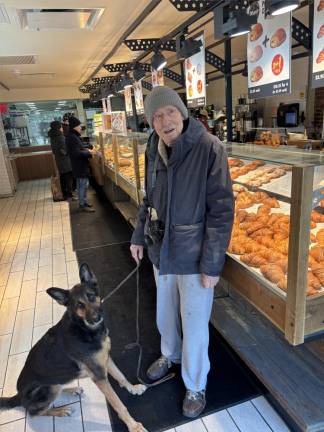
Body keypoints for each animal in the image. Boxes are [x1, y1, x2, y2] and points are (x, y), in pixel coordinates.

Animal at [0, 264, 147, 432]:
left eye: (91, 296)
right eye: (79, 305)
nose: (95, 318)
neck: (83, 328)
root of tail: (18, 396)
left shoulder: (105, 359)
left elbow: (120, 376)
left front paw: (133, 388)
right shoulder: (99, 376)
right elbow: (118, 404)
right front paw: (133, 426)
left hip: (55, 384)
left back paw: (72, 390)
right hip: (47, 389)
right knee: (35, 412)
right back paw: (62, 410)